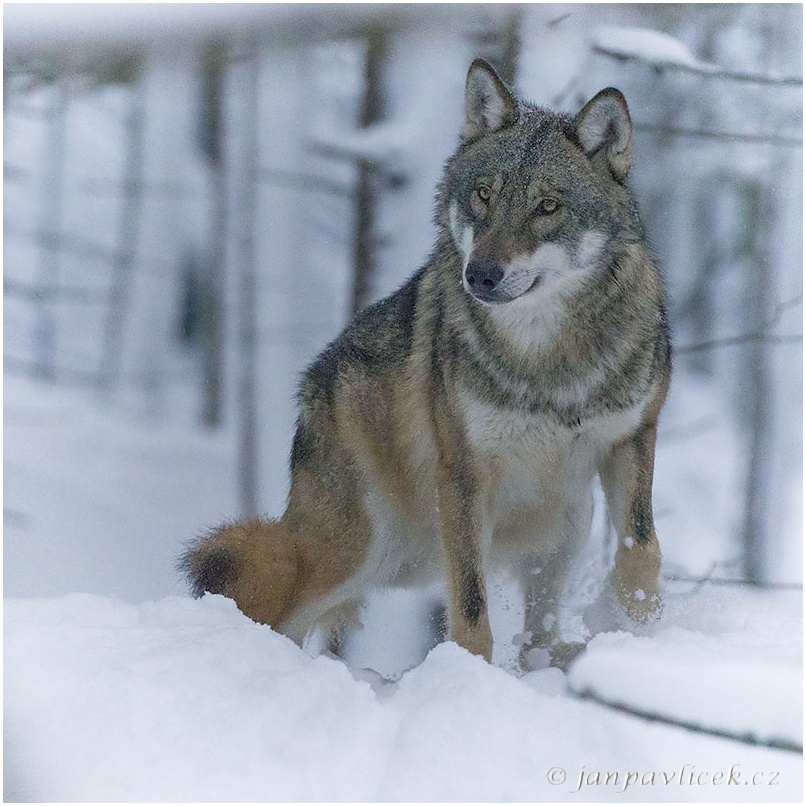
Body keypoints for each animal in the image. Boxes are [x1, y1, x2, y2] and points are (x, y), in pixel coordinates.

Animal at [180, 60, 672, 668]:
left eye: (548, 206)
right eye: (484, 195)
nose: (480, 274)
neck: (547, 361)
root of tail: (311, 389)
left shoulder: (633, 438)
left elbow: (642, 549)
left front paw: (644, 630)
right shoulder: (463, 474)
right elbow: (470, 607)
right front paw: (469, 677)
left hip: (561, 525)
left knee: (537, 630)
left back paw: (552, 658)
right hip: (362, 547)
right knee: (279, 605)